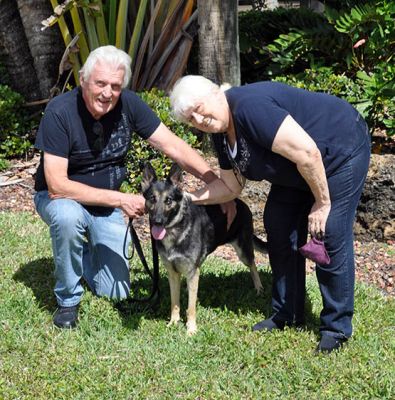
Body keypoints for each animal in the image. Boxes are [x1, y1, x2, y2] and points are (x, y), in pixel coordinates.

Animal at [141, 162, 268, 334]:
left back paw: (259, 288)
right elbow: (175, 302)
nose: (157, 221)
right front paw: (174, 322)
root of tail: (240, 203)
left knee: (253, 264)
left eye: (169, 200)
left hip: (243, 251)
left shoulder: (192, 272)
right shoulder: (173, 273)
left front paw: (191, 329)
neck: (175, 232)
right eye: (152, 199)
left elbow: (191, 307)